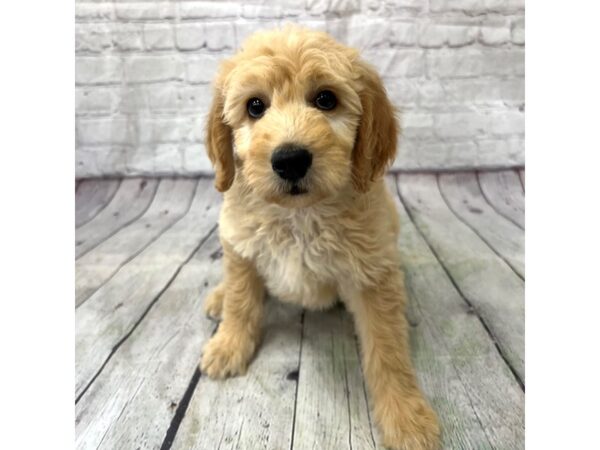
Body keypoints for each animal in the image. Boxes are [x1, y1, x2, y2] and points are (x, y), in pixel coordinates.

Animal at [199, 25, 438, 450]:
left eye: (326, 99)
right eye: (255, 106)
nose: (290, 159)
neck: (300, 216)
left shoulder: (373, 274)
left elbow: (388, 349)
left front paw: (407, 419)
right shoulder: (240, 245)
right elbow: (242, 301)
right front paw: (228, 346)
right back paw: (219, 297)